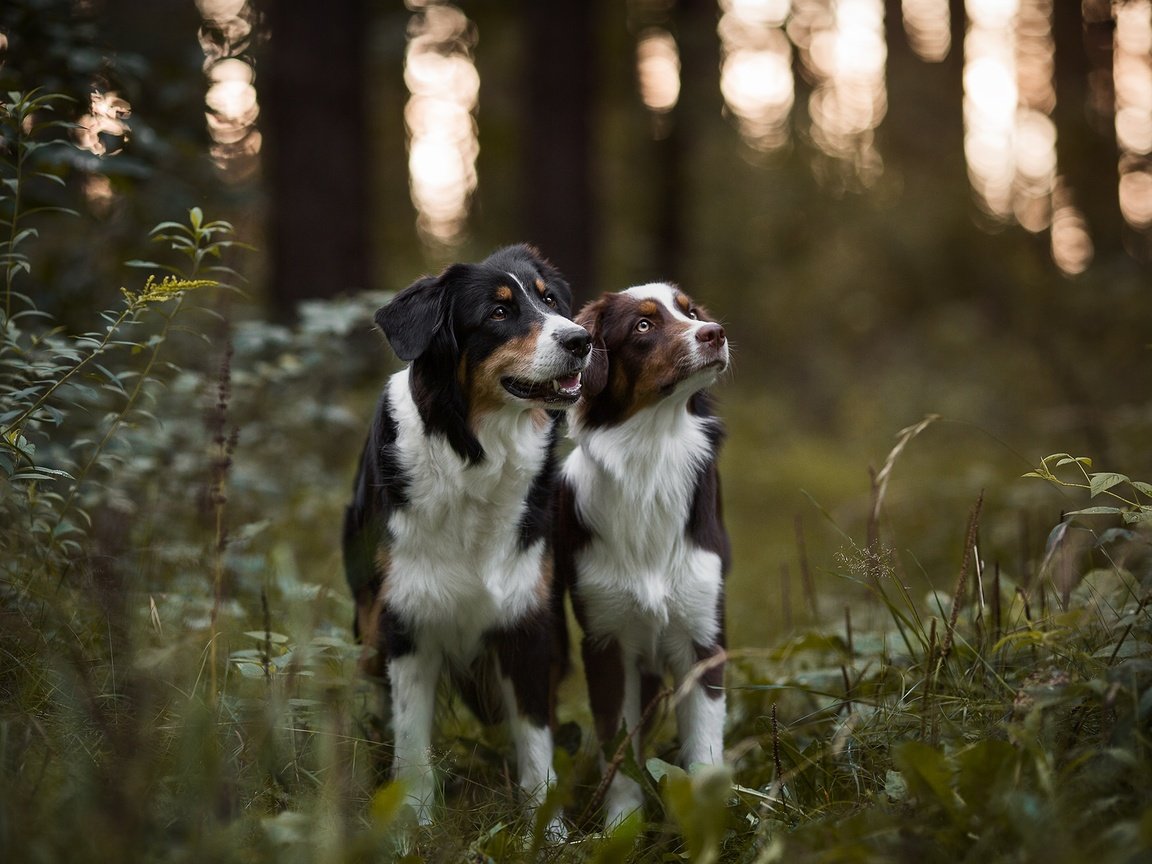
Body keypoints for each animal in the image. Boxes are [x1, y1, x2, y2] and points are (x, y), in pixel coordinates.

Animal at [338, 246, 594, 829]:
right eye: (498, 313)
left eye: (550, 300)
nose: (581, 340)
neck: (476, 456)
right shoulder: (404, 619)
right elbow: (412, 744)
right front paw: (414, 828)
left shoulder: (528, 619)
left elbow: (537, 743)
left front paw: (549, 834)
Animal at [550, 282, 728, 824]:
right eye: (643, 326)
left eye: (690, 312)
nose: (716, 332)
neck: (652, 454)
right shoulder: (607, 643)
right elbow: (620, 753)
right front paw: (619, 825)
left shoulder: (702, 637)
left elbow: (704, 751)